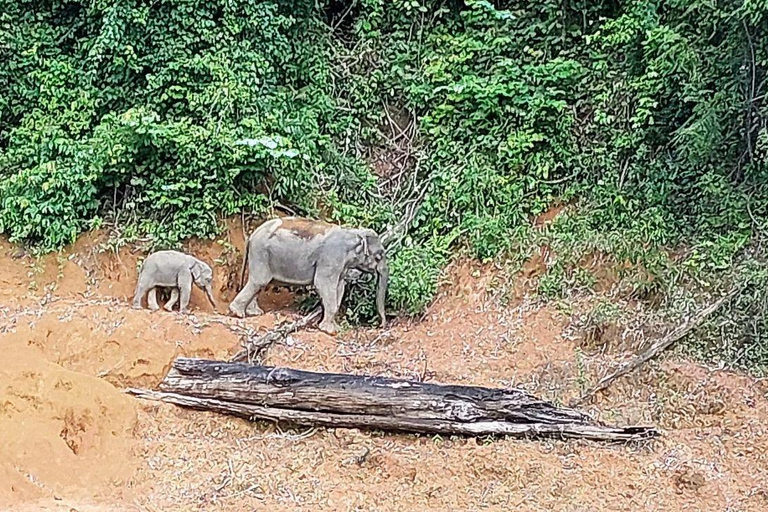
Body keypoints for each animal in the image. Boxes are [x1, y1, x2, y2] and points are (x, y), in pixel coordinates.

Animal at [225, 217, 388, 334]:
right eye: (379, 256)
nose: (381, 325)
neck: (355, 233)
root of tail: (251, 235)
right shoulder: (331, 257)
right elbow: (323, 284)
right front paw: (330, 331)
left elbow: (339, 288)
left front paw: (334, 328)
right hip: (260, 253)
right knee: (259, 281)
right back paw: (237, 313)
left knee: (259, 283)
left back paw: (254, 313)